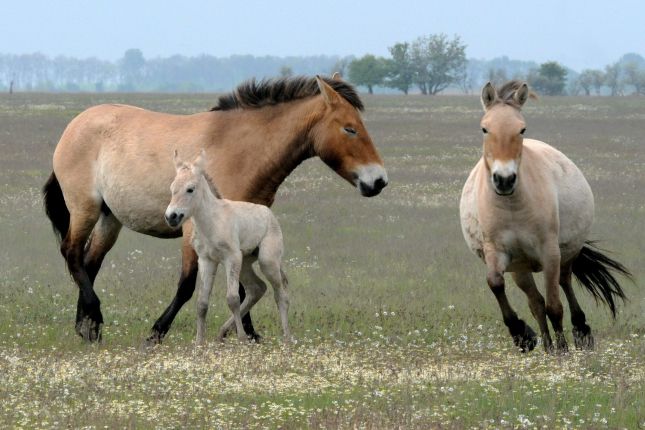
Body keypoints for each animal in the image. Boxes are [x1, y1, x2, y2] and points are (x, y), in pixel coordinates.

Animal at [166, 149, 290, 344]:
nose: (171, 217)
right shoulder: (207, 260)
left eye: (190, 189)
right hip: (245, 263)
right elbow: (202, 302)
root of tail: (269, 214)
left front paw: (241, 338)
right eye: (172, 189)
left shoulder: (231, 258)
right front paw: (199, 342)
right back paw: (222, 332)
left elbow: (232, 298)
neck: (211, 223)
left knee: (281, 295)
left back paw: (287, 339)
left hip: (267, 261)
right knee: (257, 288)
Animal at [460, 80, 632, 352]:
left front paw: (563, 351)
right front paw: (522, 335)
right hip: (521, 269)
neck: (512, 208)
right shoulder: (497, 252)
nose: (504, 180)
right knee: (536, 304)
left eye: (522, 129)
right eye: (484, 128)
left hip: (565, 255)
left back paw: (580, 332)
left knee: (564, 284)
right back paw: (547, 346)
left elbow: (555, 306)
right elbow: (496, 283)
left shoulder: (549, 252)